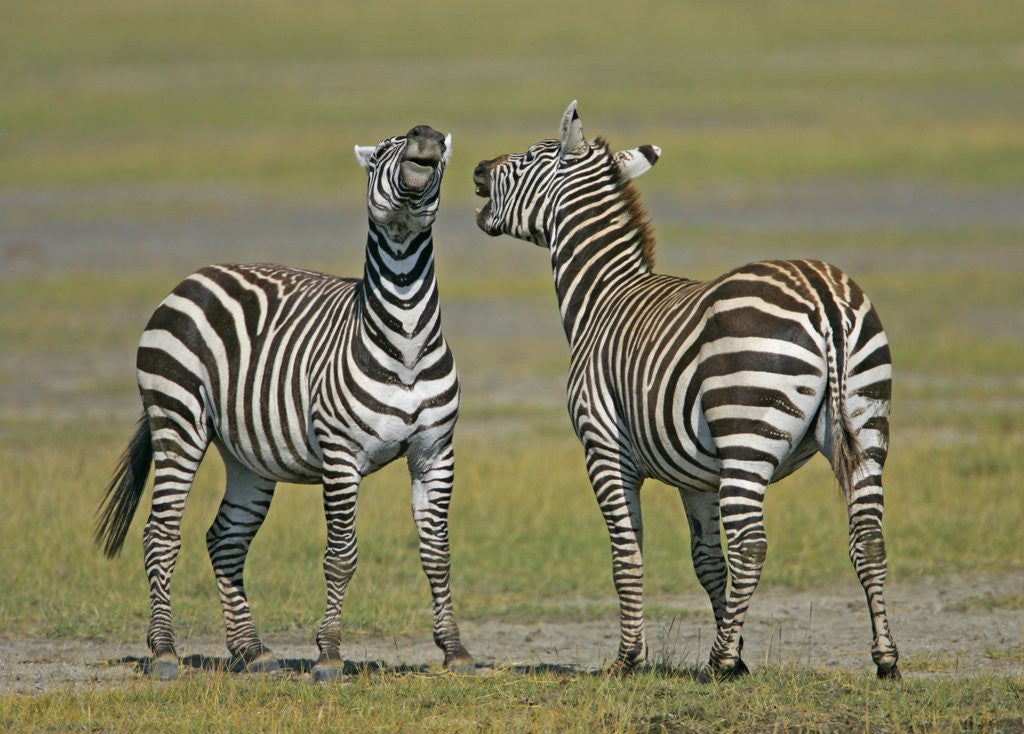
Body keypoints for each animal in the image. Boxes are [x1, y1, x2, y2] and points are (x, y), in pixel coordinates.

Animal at [95, 123, 471, 679]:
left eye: (439, 150)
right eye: (385, 149)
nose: (423, 134)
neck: (404, 339)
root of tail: (198, 275)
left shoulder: (435, 452)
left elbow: (438, 554)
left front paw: (454, 650)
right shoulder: (340, 457)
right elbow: (341, 556)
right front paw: (329, 655)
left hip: (246, 454)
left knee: (225, 539)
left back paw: (252, 651)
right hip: (178, 419)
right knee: (161, 533)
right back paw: (164, 652)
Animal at [468, 100, 897, 679]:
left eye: (533, 155)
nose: (477, 170)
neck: (602, 296)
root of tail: (822, 294)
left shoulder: (604, 449)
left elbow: (626, 554)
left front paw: (632, 658)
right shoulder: (698, 478)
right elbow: (707, 561)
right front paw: (738, 654)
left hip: (748, 435)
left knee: (751, 546)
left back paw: (714, 663)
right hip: (865, 426)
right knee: (868, 539)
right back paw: (886, 659)